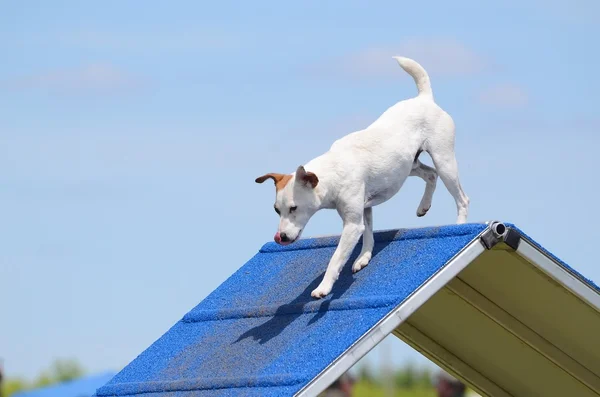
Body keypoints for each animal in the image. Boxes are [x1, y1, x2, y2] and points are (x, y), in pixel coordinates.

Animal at [253, 55, 468, 296]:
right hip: (410, 166)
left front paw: (323, 287)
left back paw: (460, 224)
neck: (334, 170)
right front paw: (363, 258)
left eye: (293, 208)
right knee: (430, 175)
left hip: (444, 160)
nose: (280, 237)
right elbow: (368, 235)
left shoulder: (352, 223)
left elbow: (336, 258)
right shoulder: (365, 208)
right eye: (276, 210)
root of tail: (424, 99)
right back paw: (423, 206)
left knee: (461, 197)